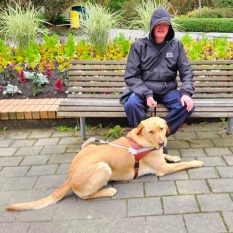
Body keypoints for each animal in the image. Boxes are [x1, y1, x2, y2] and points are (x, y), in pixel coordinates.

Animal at [5, 116, 202, 211]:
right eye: (150, 131)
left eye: (161, 128)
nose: (162, 143)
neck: (143, 142)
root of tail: (70, 177)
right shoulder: (162, 169)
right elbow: (184, 164)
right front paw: (196, 161)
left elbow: (170, 158)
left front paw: (173, 156)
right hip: (103, 167)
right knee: (84, 196)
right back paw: (107, 191)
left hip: (90, 146)